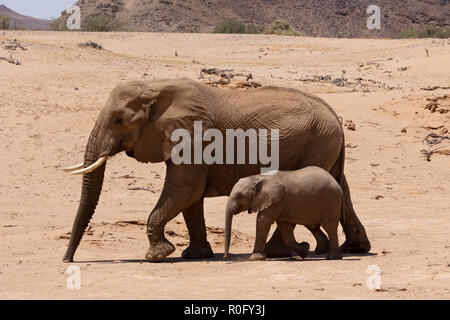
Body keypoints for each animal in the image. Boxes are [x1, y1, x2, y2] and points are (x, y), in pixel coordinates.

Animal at [61, 78, 370, 262]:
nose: (67, 260)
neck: (157, 86)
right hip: (326, 146)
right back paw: (351, 250)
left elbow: (185, 191)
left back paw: (280, 252)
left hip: (317, 143)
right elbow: (190, 200)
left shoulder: (194, 138)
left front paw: (158, 255)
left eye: (119, 120)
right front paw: (195, 255)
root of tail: (334, 115)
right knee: (342, 189)